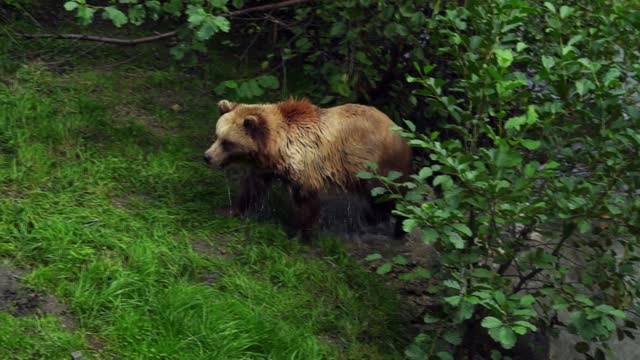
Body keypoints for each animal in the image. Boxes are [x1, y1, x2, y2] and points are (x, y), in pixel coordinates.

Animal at [206, 98, 416, 242]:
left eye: (228, 143)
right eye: (217, 136)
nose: (207, 157)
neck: (276, 150)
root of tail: (400, 129)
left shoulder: (305, 167)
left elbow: (306, 200)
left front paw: (299, 233)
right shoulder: (265, 168)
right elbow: (251, 188)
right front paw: (231, 210)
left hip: (380, 164)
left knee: (391, 193)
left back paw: (397, 228)